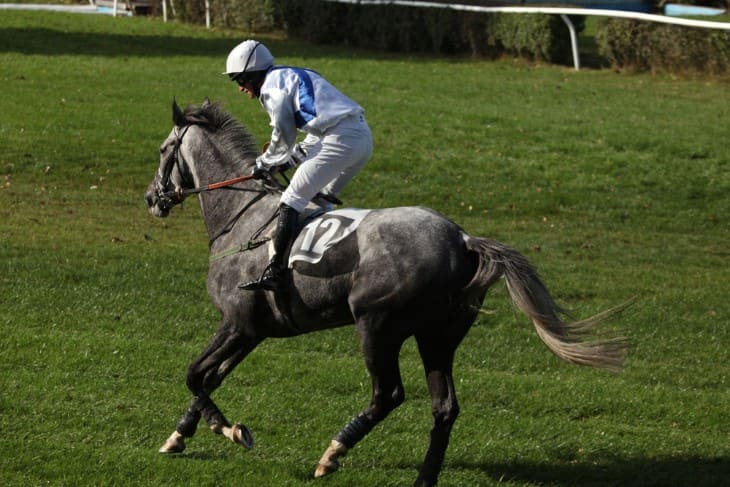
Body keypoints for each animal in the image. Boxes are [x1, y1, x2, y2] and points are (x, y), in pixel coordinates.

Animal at [144, 100, 624, 487]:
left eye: (165, 150)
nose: (152, 197)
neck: (240, 216)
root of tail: (462, 239)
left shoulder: (238, 323)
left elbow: (194, 374)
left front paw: (231, 430)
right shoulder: (255, 330)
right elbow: (210, 378)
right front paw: (179, 436)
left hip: (376, 326)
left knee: (388, 394)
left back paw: (332, 454)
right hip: (438, 337)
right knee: (444, 407)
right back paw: (424, 477)